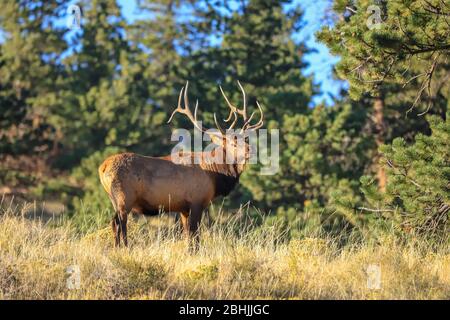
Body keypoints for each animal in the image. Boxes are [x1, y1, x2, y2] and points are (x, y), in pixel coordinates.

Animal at [98, 81, 264, 251]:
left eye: (246, 139)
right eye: (232, 143)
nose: (251, 149)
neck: (214, 175)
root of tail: (103, 167)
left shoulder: (183, 208)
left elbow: (187, 235)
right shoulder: (197, 201)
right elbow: (195, 234)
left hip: (114, 199)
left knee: (114, 223)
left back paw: (117, 247)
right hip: (125, 197)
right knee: (120, 223)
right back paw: (125, 247)